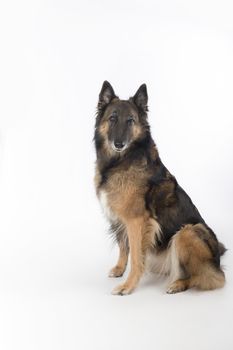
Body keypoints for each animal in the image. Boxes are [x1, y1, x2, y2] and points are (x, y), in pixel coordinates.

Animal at [93, 81, 226, 296]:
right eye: (112, 118)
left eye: (130, 121)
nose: (119, 144)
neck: (120, 160)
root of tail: (217, 261)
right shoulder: (119, 217)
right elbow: (123, 246)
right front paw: (120, 269)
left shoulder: (136, 221)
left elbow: (136, 256)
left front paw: (128, 285)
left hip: (187, 232)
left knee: (210, 278)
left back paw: (178, 284)